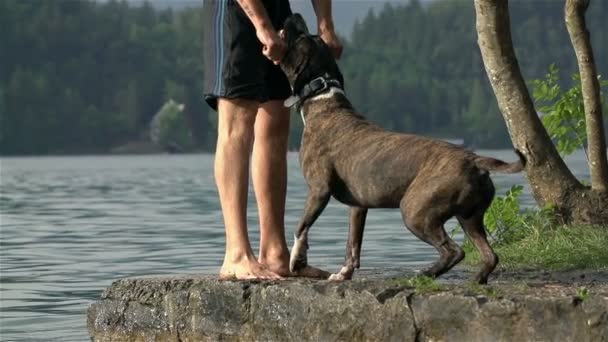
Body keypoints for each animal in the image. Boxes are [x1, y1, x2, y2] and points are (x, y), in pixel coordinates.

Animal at [280, 14, 524, 284]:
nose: (294, 16)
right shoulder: (358, 207)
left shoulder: (318, 191)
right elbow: (352, 246)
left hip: (415, 211)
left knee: (454, 251)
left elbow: (300, 228)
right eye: (312, 36)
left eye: (301, 37)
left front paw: (296, 261)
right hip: (470, 218)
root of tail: (474, 159)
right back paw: (475, 280)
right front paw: (342, 274)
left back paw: (425, 273)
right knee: (489, 255)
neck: (322, 97)